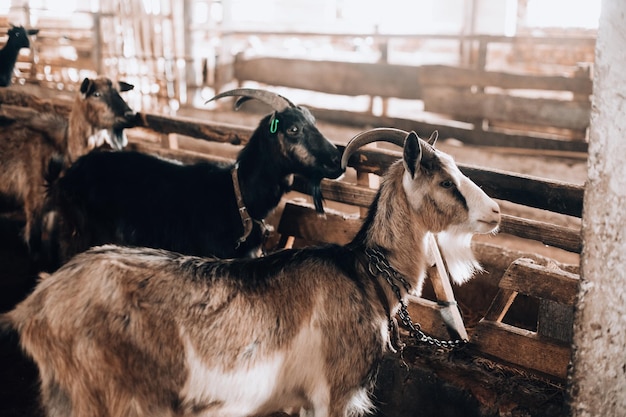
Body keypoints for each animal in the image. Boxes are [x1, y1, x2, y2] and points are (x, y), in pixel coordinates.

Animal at [0, 75, 136, 260]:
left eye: (119, 92)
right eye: (96, 94)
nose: (130, 115)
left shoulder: (53, 213)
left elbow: (51, 245)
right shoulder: (34, 204)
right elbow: (34, 245)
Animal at [47, 88, 342, 264]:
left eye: (314, 124)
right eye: (293, 129)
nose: (336, 160)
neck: (238, 196)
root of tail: (68, 176)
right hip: (85, 232)